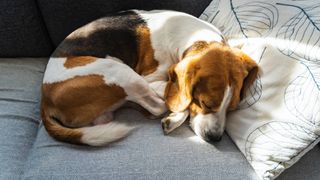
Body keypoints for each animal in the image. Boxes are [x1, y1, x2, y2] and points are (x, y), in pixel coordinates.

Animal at [41, 9, 258, 146]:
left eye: (232, 108)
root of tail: (45, 100)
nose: (215, 138)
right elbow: (181, 100)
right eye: (205, 103)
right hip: (120, 72)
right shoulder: (150, 80)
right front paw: (176, 113)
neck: (197, 37)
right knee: (157, 107)